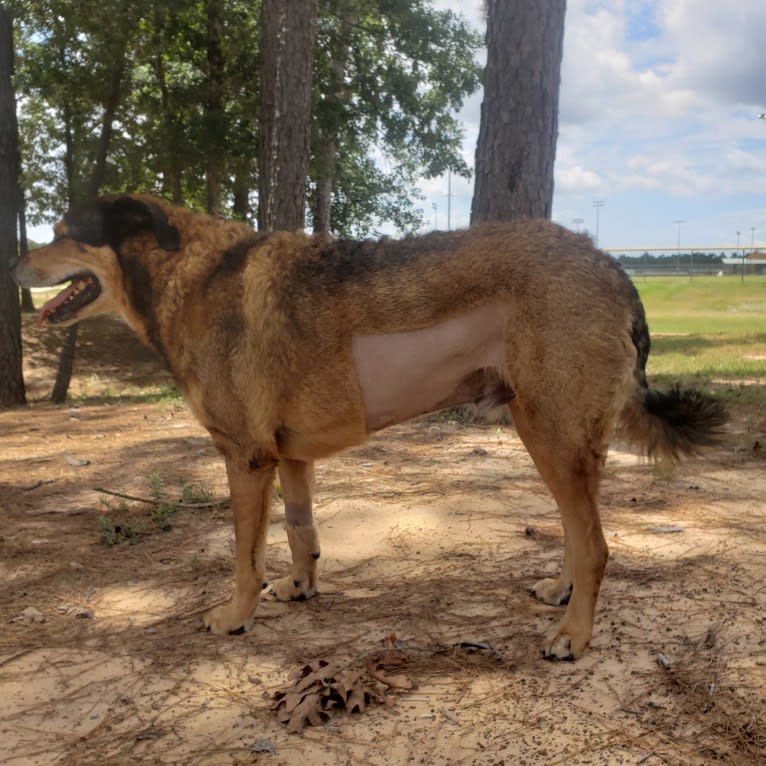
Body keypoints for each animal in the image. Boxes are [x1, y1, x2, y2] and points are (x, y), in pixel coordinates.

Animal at [12, 196, 728, 660]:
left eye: (62, 232)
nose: (13, 266)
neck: (188, 275)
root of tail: (609, 263)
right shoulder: (290, 460)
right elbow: (301, 536)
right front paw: (301, 589)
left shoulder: (246, 459)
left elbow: (244, 560)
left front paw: (236, 618)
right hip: (567, 444)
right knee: (581, 536)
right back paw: (561, 593)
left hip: (549, 436)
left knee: (599, 546)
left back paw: (573, 638)